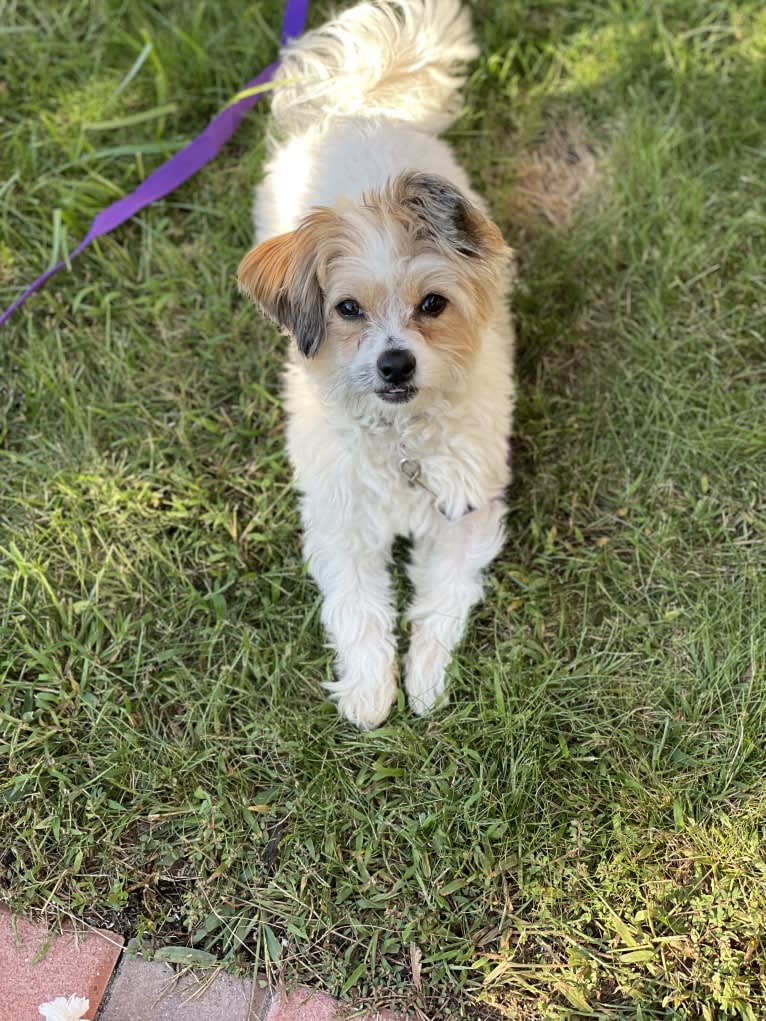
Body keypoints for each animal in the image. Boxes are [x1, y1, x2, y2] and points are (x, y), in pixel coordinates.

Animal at [240, 1, 516, 735]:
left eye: (433, 304)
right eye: (347, 309)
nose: (395, 364)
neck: (400, 442)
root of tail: (359, 107)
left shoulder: (465, 514)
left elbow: (440, 602)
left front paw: (426, 681)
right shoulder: (342, 525)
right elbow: (358, 607)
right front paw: (369, 689)